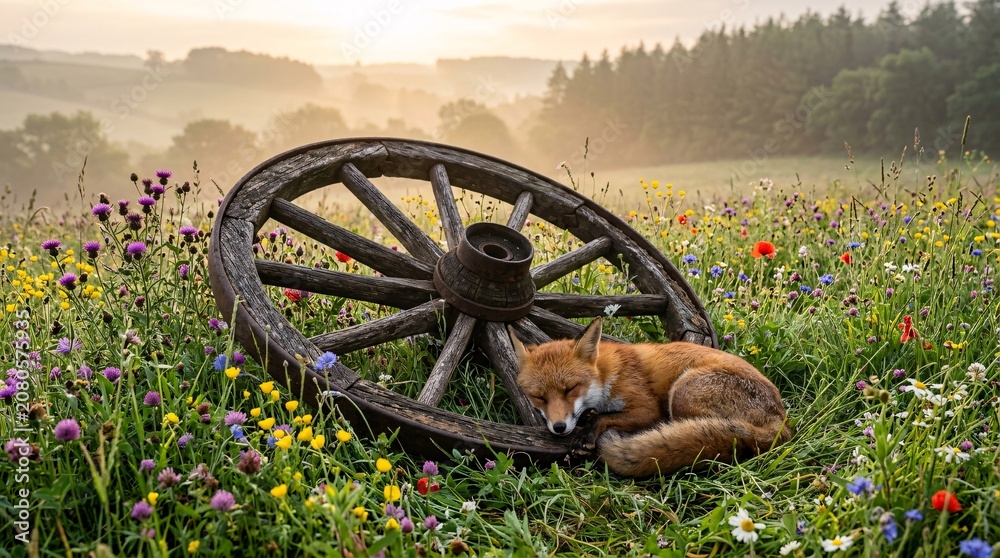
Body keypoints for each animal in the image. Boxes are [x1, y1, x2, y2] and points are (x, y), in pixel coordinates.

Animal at [510, 317, 792, 477]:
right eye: (538, 397)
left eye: (570, 388)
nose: (559, 428)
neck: (605, 375)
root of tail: (782, 423)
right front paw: (588, 417)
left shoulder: (648, 408)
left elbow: (606, 417)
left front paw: (588, 431)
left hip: (682, 392)